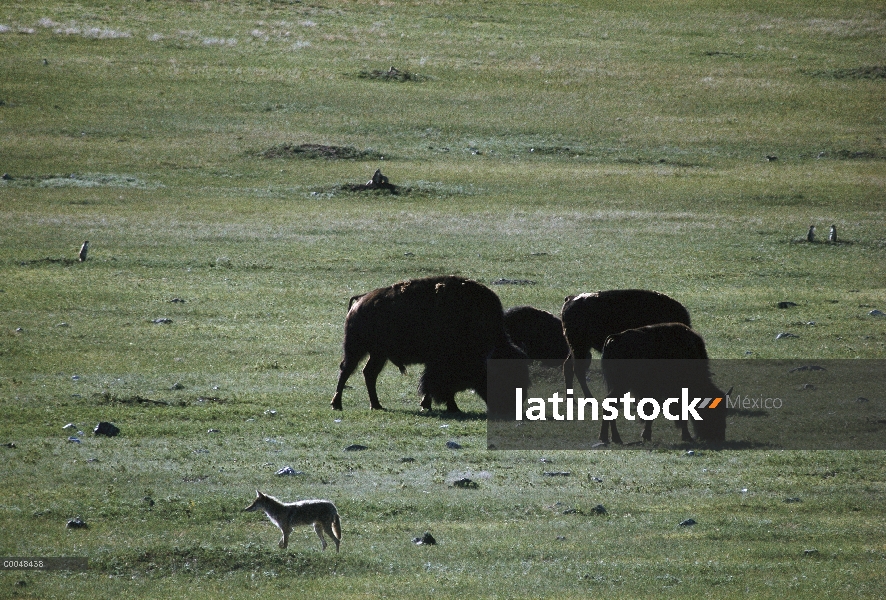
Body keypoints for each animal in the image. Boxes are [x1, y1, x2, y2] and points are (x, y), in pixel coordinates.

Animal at [332, 276, 528, 412]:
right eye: (503, 375)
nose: (511, 406)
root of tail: (360, 300)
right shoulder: (440, 365)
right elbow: (438, 385)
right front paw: (450, 407)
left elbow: (430, 385)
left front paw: (427, 405)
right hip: (356, 349)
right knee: (346, 371)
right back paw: (337, 404)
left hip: (378, 354)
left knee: (369, 373)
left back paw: (376, 405)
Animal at [560, 290, 692, 398]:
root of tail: (570, 299)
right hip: (579, 347)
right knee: (578, 370)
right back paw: (589, 399)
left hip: (577, 347)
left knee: (568, 366)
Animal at [596, 324, 728, 446]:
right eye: (714, 411)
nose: (720, 437)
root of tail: (615, 338)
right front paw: (687, 437)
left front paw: (646, 436)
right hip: (621, 386)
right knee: (610, 404)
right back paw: (613, 438)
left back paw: (609, 438)